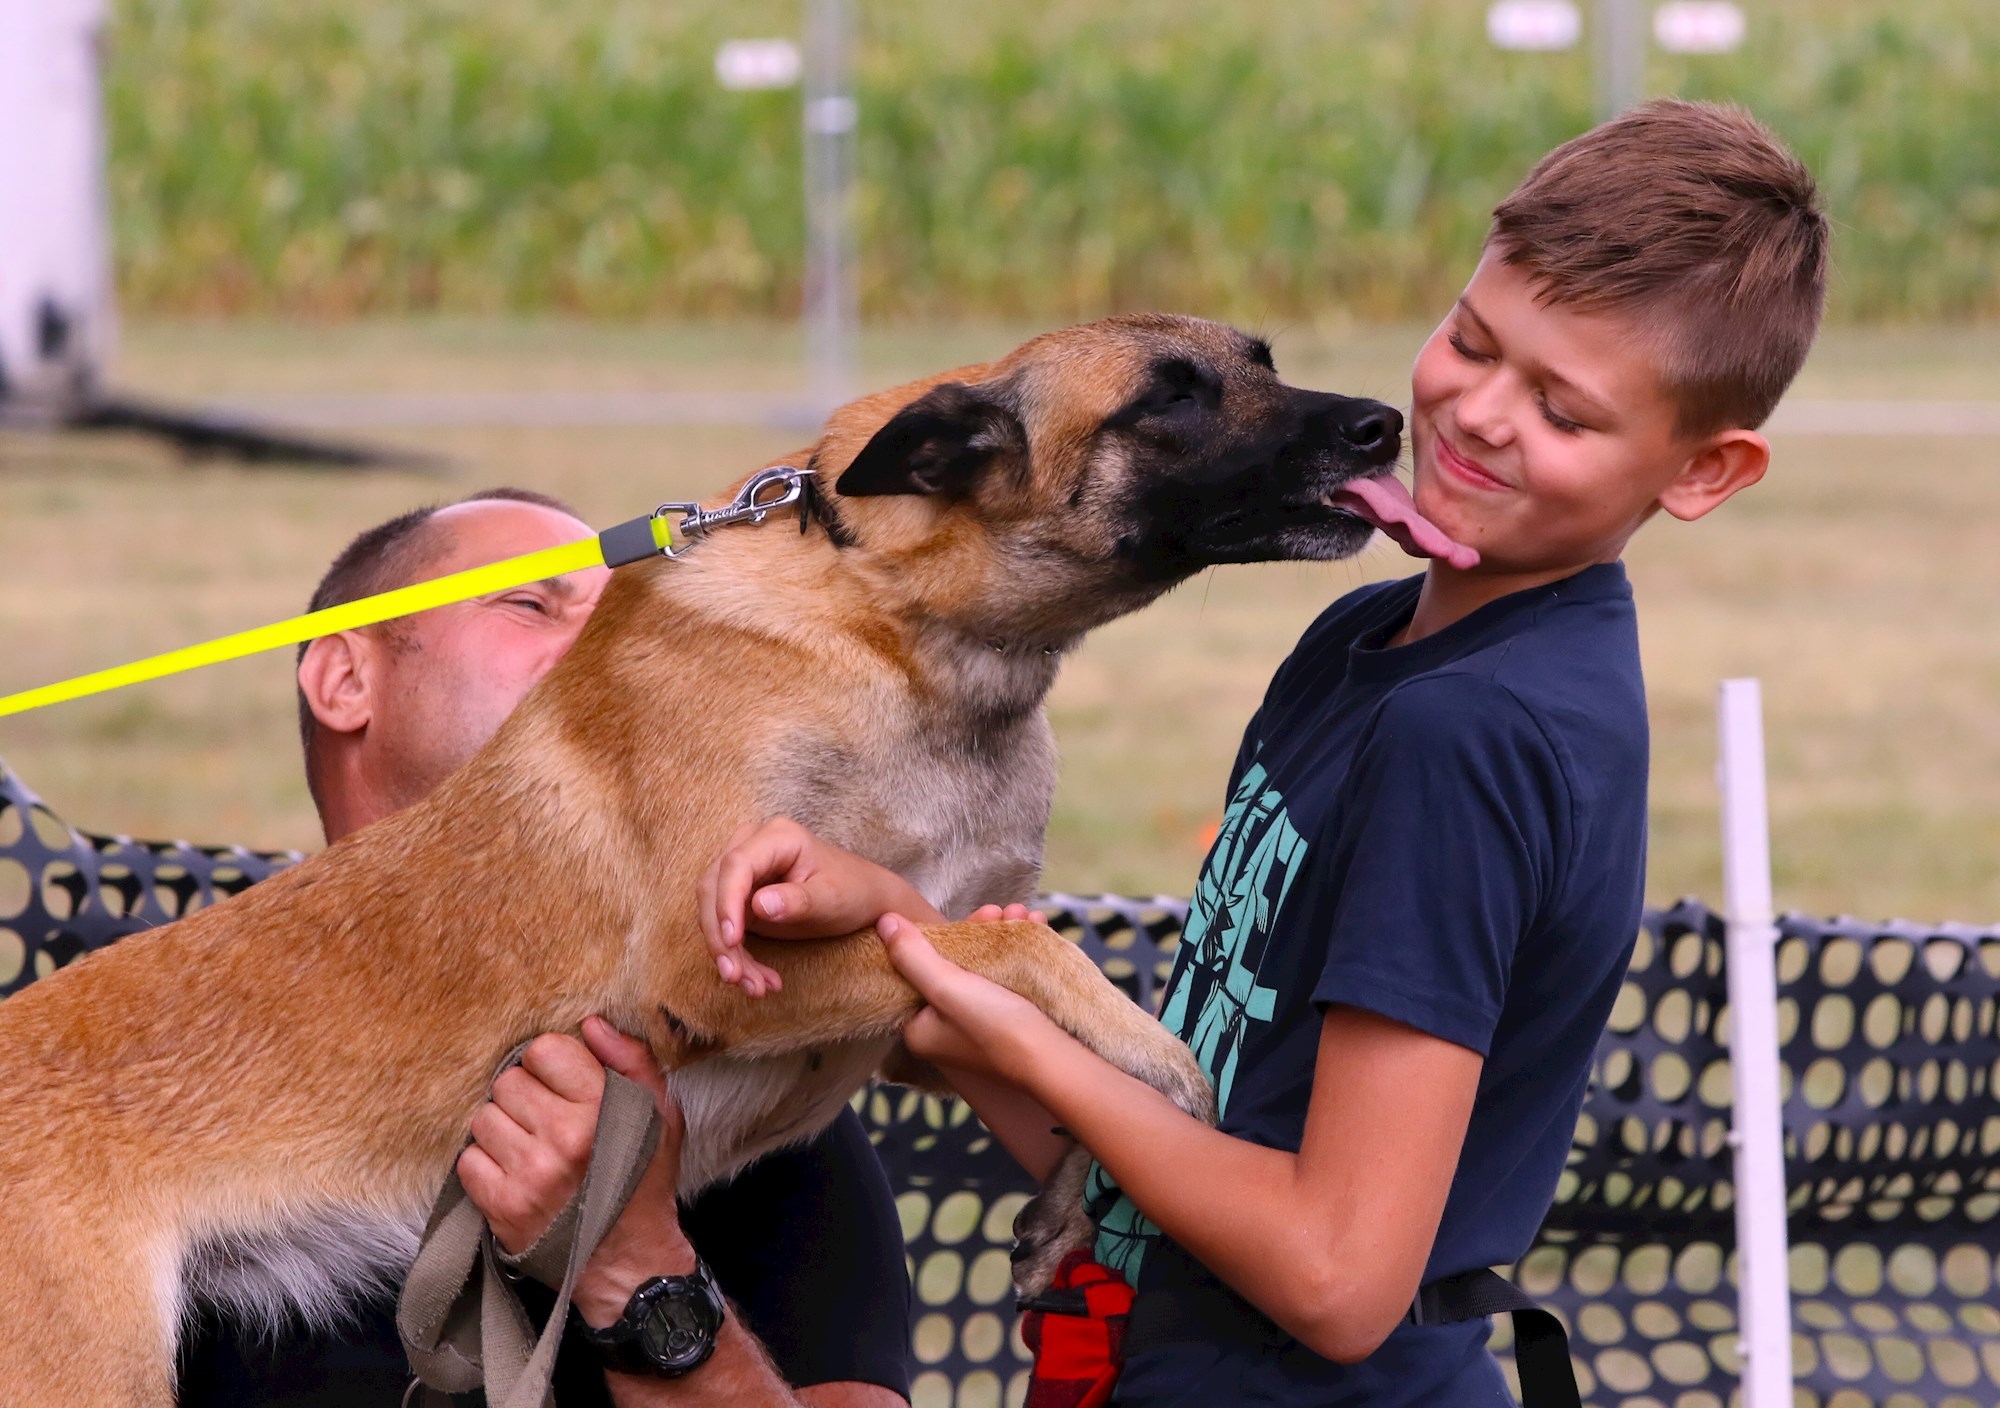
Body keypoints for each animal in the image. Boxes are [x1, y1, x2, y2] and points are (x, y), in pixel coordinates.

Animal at [0, 314, 1416, 1400]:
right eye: (1167, 398)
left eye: (1261, 359)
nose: (1380, 425)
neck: (893, 629)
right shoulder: (718, 966)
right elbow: (1033, 960)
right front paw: (1166, 1077)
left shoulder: (902, 1006)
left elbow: (1017, 997)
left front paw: (1074, 1190)